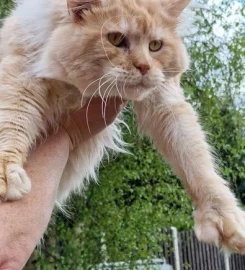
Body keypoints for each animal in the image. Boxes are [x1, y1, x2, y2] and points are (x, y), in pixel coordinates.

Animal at [0, 0, 245, 253]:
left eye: (155, 45)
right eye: (116, 39)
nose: (144, 67)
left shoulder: (164, 100)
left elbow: (195, 160)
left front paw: (224, 219)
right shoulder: (22, 72)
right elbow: (13, 121)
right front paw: (7, 174)